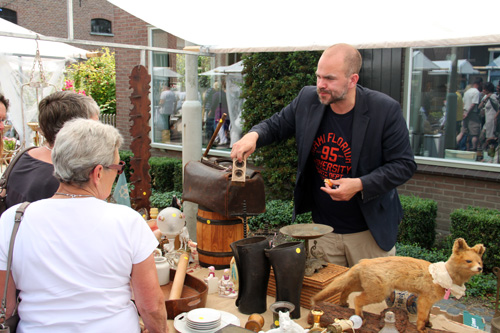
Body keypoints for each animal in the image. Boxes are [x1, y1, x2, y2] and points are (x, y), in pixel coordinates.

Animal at [312, 237, 484, 330]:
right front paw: (422, 329)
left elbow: (428, 316)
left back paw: (342, 304)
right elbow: (421, 317)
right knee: (357, 299)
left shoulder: (430, 301)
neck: (443, 276)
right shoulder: (424, 299)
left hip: (364, 286)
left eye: (480, 261)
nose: (480, 268)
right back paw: (359, 316)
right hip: (378, 293)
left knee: (345, 290)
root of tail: (363, 261)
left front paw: (429, 325)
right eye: (469, 261)